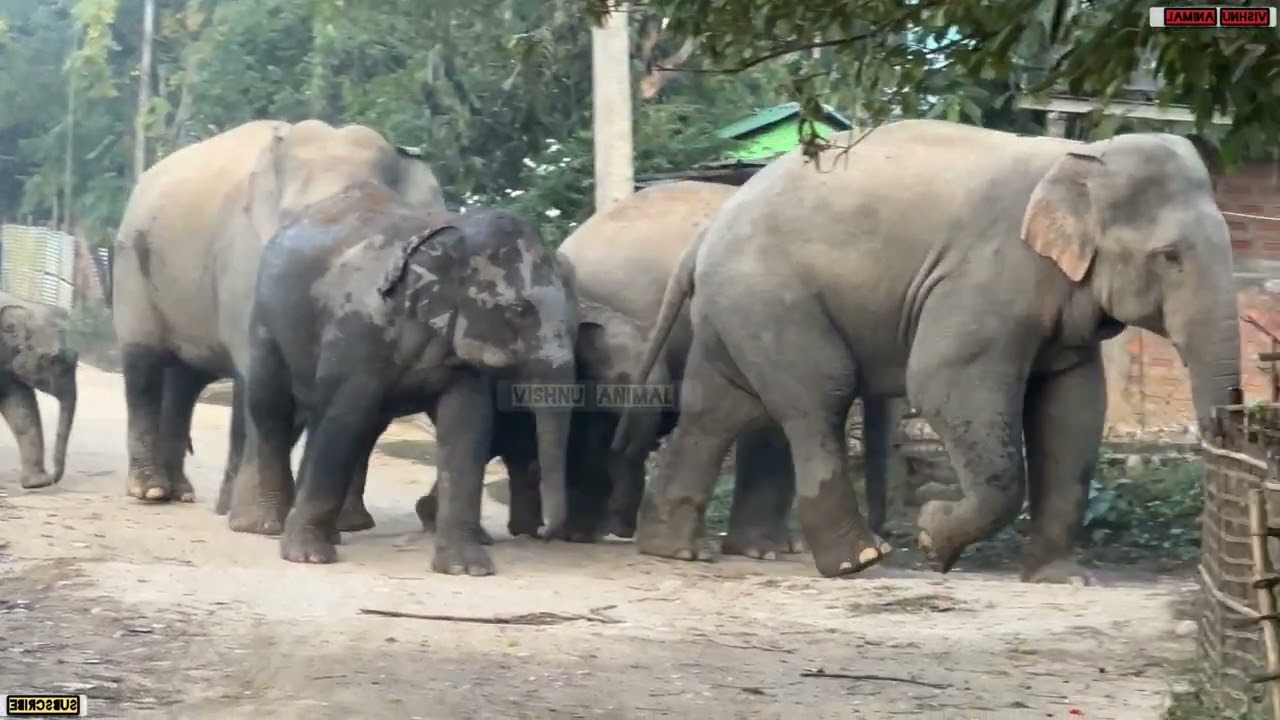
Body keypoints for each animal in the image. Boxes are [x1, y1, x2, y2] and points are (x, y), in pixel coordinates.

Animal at [112, 119, 445, 521]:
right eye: (293, 222)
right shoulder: (246, 258)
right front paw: (249, 515)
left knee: (185, 380)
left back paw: (182, 492)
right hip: (132, 262)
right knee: (144, 365)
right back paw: (151, 491)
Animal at [225, 184, 577, 575]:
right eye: (519, 310)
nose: (541, 532)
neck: (454, 232)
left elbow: (468, 425)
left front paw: (466, 569)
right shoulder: (359, 329)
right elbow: (344, 418)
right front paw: (308, 558)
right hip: (265, 320)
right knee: (274, 408)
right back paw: (271, 525)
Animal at [621, 119, 1239, 583]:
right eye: (1170, 257)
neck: (1082, 158)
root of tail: (708, 230)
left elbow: (1073, 408)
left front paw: (1062, 579)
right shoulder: (985, 274)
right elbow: (942, 382)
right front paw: (933, 537)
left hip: (734, 310)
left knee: (716, 407)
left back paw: (673, 550)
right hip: (771, 298)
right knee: (818, 395)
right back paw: (859, 560)